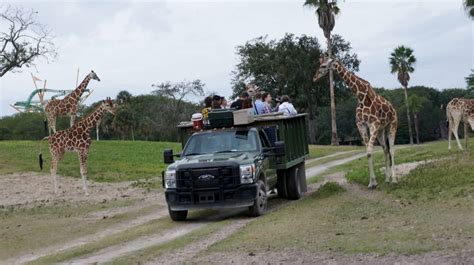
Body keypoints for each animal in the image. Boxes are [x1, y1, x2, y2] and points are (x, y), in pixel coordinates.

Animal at [314, 56, 400, 188]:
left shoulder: (373, 124)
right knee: (385, 149)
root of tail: (393, 108)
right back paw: (387, 179)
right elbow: (367, 152)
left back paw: (394, 180)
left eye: (323, 66)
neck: (360, 97)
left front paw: (374, 182)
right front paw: (372, 183)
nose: (314, 77)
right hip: (381, 130)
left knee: (392, 149)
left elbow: (369, 151)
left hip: (392, 125)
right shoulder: (362, 125)